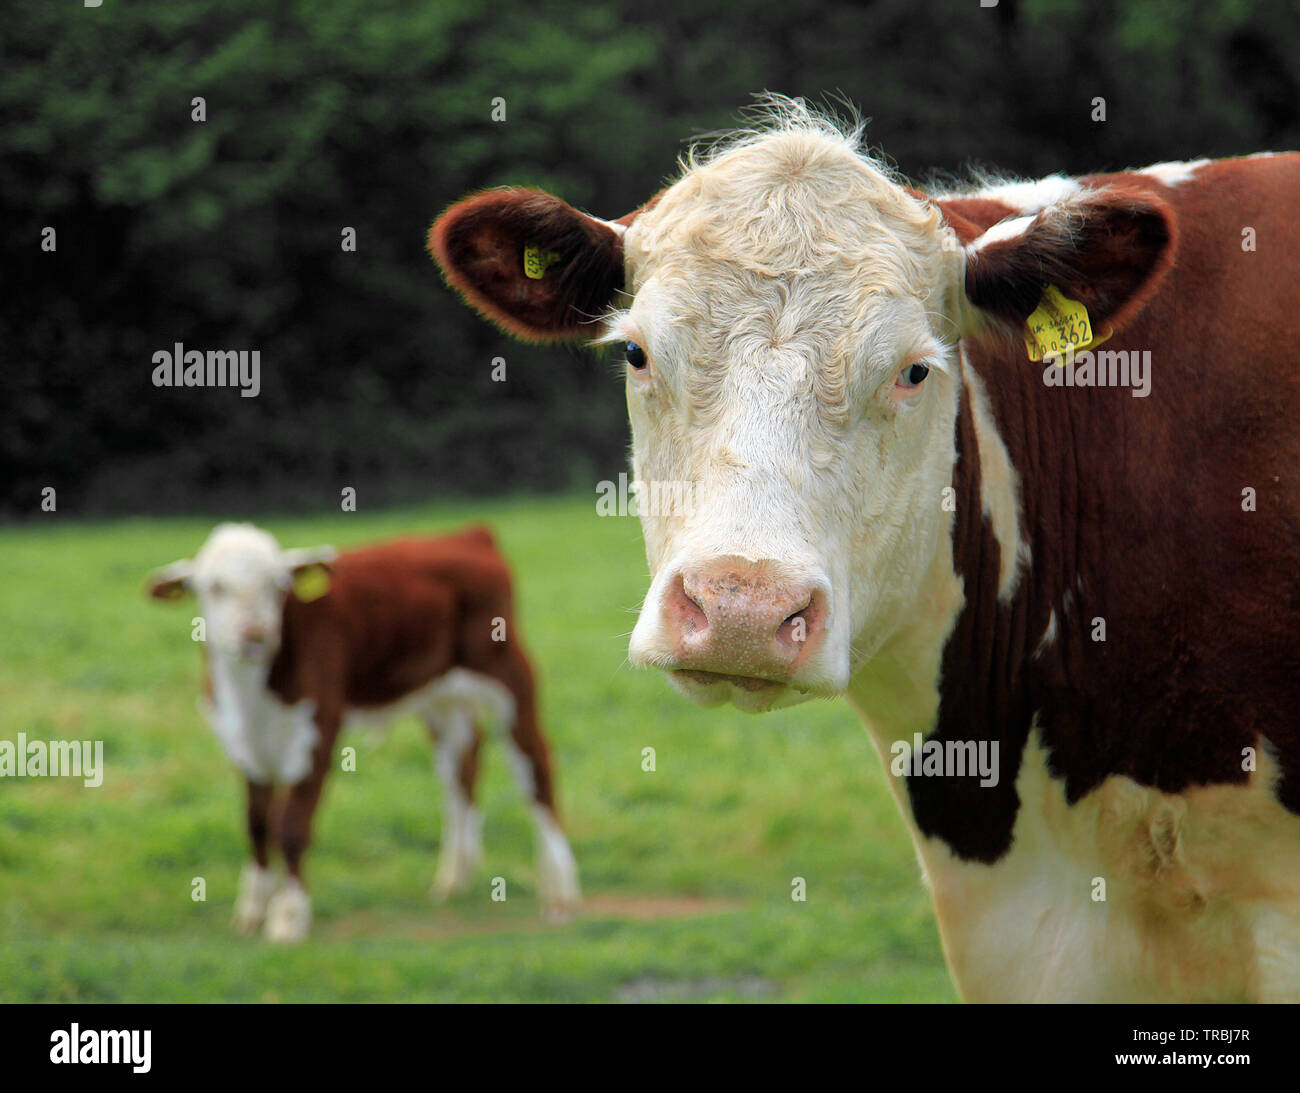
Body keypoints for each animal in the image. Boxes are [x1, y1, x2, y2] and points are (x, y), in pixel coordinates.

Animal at [143, 525, 585, 940]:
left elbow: (291, 827)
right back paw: (454, 876)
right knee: (460, 766)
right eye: (214, 587)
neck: (250, 695)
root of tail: (468, 535)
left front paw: (288, 918)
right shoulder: (242, 745)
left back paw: (561, 892)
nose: (255, 634)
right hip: (439, 695)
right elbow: (257, 825)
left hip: (507, 673)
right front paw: (251, 909)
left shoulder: (319, 731)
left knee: (535, 767)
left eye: (278, 586)